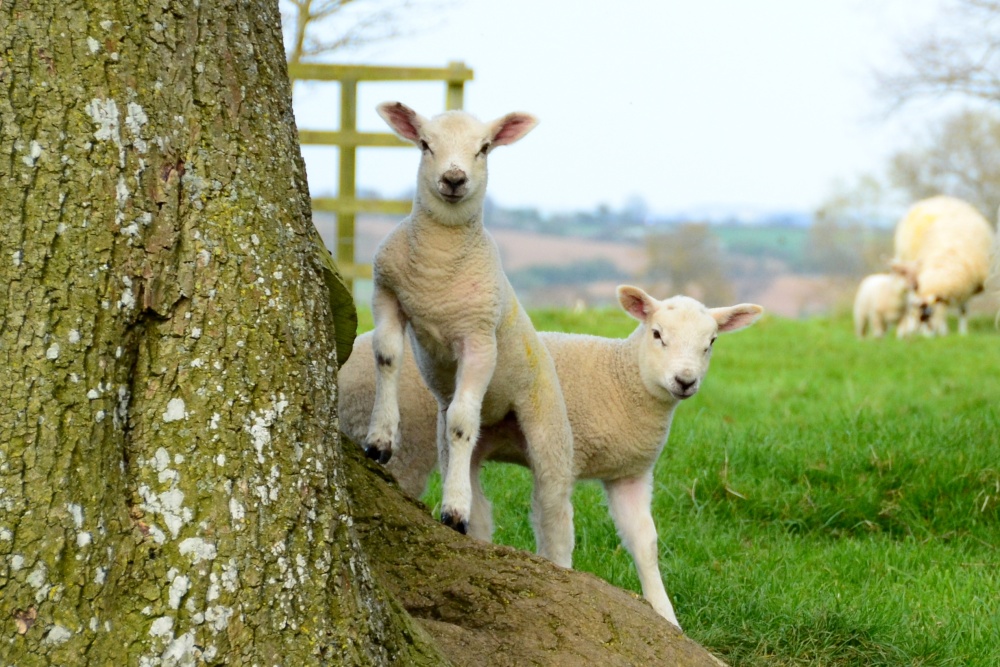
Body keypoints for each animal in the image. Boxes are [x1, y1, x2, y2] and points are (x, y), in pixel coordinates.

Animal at [339, 285, 764, 629]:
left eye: (711, 342)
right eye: (657, 334)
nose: (685, 381)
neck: (622, 378)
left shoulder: (630, 474)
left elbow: (645, 544)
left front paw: (667, 618)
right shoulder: (561, 459)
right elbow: (557, 527)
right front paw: (563, 582)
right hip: (403, 440)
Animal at [362, 101, 576, 567]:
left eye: (484, 148)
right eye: (425, 144)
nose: (454, 178)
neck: (437, 265)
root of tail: (500, 435)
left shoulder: (478, 338)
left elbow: (462, 418)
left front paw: (452, 509)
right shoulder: (388, 294)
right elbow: (386, 355)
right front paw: (380, 439)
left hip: (549, 430)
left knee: (554, 513)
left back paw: (559, 565)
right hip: (472, 448)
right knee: (480, 501)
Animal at [891, 195, 995, 336]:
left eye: (930, 313)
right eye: (922, 316)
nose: (928, 336)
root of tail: (937, 198)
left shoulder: (966, 286)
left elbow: (963, 309)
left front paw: (962, 333)